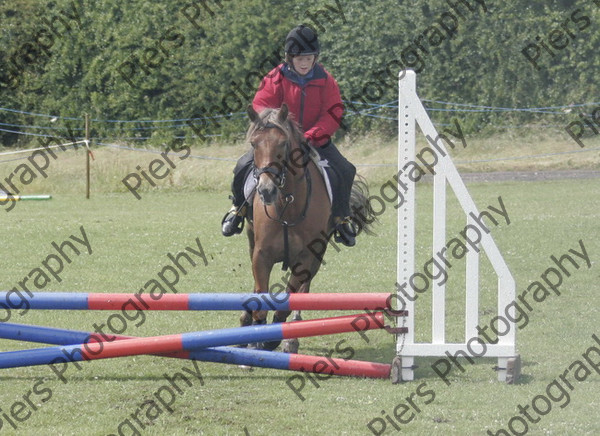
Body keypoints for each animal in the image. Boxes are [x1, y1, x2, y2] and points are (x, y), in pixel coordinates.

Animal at [240, 105, 376, 354]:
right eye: (254, 143)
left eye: (283, 143)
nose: (266, 190)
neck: (287, 204)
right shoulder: (261, 254)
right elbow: (260, 293)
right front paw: (254, 334)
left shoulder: (305, 257)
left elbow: (288, 299)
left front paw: (274, 338)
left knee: (303, 291)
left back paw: (292, 337)